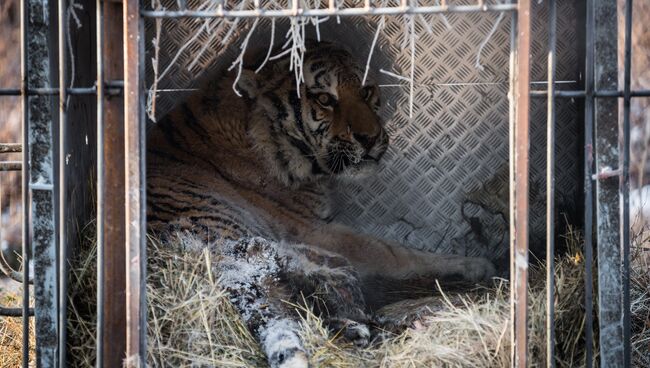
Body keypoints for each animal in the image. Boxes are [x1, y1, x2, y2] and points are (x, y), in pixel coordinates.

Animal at [146, 43, 492, 368]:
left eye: (366, 91)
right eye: (325, 99)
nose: (370, 138)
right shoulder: (315, 230)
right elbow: (395, 253)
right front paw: (472, 264)